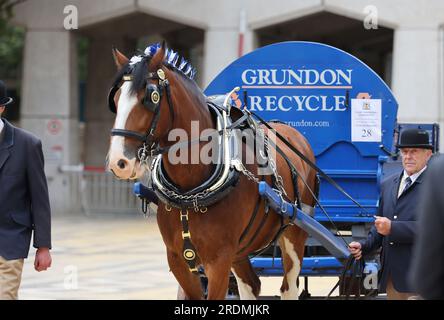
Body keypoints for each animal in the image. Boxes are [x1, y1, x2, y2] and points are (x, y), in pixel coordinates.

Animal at [106, 42, 318, 300]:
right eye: (116, 99)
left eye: (150, 98)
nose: (119, 162)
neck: (190, 189)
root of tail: (294, 132)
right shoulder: (178, 259)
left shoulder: (218, 261)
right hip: (240, 251)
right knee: (251, 285)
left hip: (295, 234)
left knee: (289, 286)